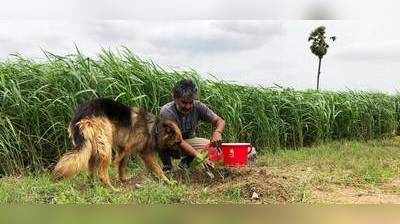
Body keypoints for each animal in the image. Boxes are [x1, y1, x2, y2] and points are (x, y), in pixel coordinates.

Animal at [53, 98, 183, 189]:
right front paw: (168, 181)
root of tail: (83, 113)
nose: (181, 156)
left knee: (91, 170)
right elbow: (157, 169)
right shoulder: (145, 154)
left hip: (93, 148)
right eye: (177, 142)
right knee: (102, 173)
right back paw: (111, 188)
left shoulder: (124, 148)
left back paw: (92, 184)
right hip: (105, 148)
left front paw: (123, 179)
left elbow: (122, 165)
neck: (154, 128)